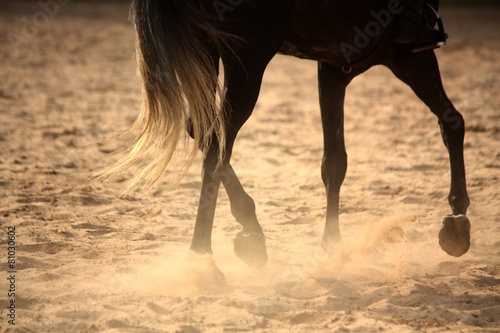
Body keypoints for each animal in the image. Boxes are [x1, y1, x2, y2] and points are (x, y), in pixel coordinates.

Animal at [100, 0, 468, 266]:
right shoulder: (409, 56)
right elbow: (453, 121)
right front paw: (458, 218)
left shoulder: (334, 67)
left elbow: (334, 162)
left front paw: (331, 244)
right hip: (247, 60)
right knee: (217, 144)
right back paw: (201, 255)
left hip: (207, 51)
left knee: (203, 132)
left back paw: (249, 230)